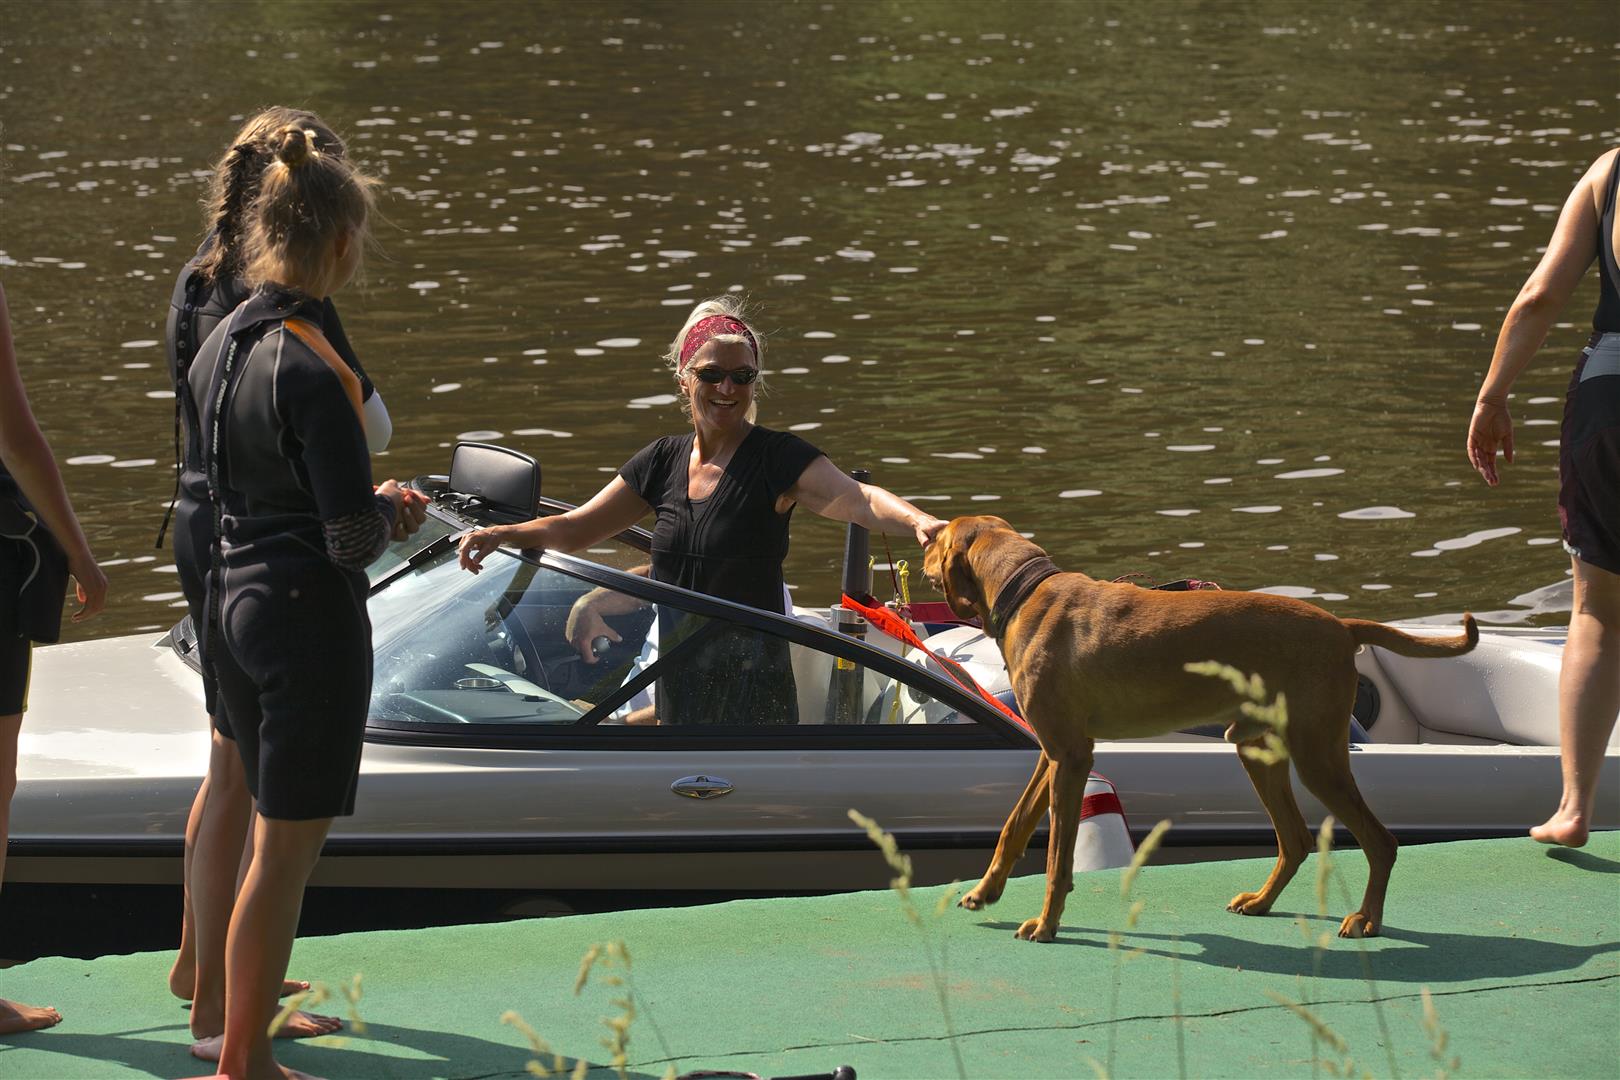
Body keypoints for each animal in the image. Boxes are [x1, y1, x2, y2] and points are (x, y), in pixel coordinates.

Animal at [921, 515, 1477, 943]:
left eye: (940, 535)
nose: (922, 539)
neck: (1025, 591)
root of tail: (1342, 626)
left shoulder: (1072, 756)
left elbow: (1057, 857)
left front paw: (1046, 924)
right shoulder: (1054, 751)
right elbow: (1014, 826)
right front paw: (985, 892)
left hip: (1316, 754)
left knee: (1380, 841)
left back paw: (1365, 919)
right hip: (1257, 748)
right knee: (1296, 840)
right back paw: (1261, 901)